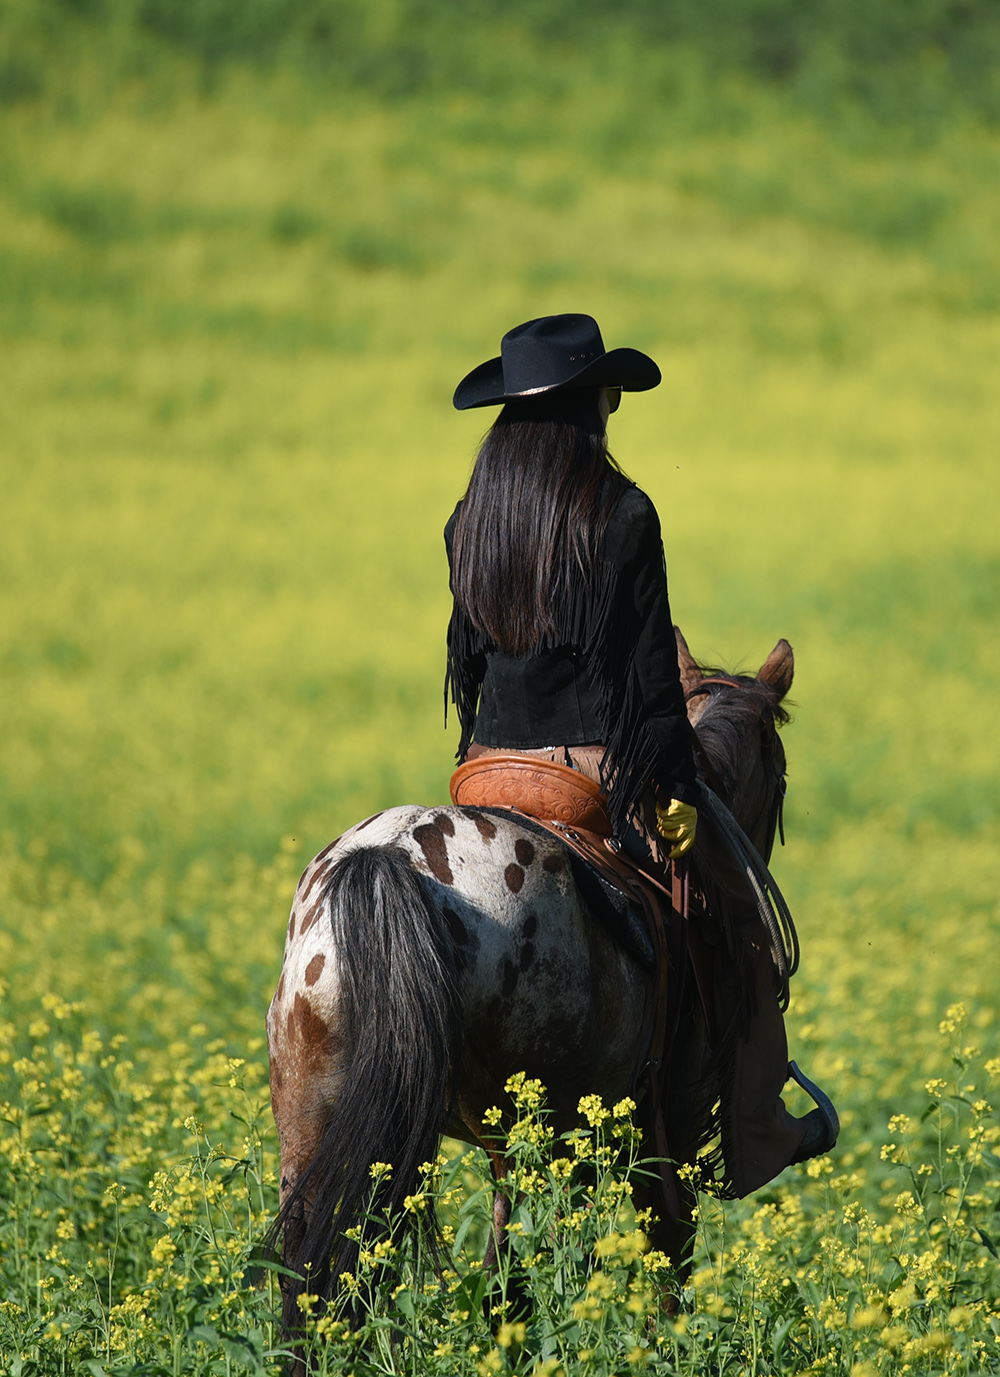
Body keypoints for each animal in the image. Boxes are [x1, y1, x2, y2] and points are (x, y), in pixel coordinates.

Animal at [265, 630, 798, 1338]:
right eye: (781, 776)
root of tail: (390, 858)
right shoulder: (665, 1132)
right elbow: (667, 1254)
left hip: (320, 1127)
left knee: (316, 1271)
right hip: (520, 1137)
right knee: (504, 1273)